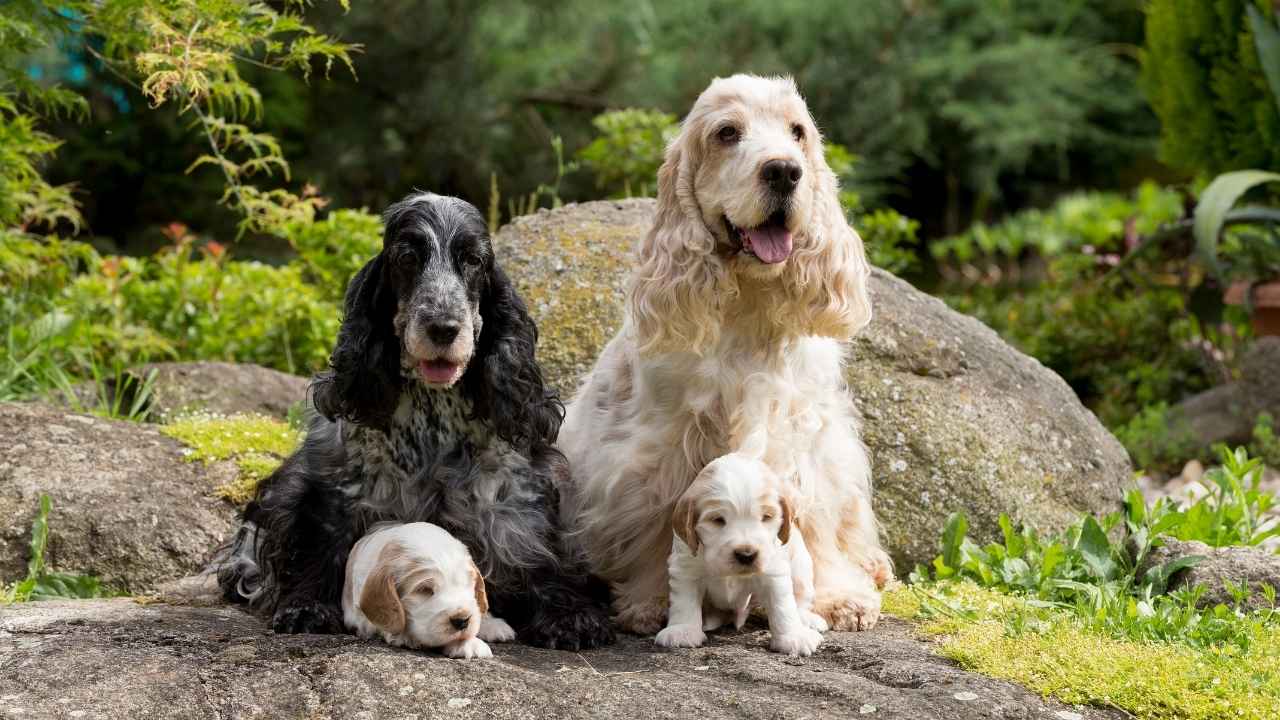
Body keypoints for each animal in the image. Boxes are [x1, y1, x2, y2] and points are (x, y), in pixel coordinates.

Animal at [345, 517, 519, 661]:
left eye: (467, 584)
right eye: (425, 590)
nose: (462, 620)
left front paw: (469, 643)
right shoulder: (357, 615)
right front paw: (406, 635)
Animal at [655, 456, 824, 653]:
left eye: (766, 517)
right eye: (718, 520)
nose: (746, 554)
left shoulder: (774, 570)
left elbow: (782, 605)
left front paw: (793, 637)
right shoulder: (685, 567)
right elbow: (684, 602)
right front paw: (682, 631)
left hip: (801, 568)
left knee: (800, 598)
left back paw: (808, 619)